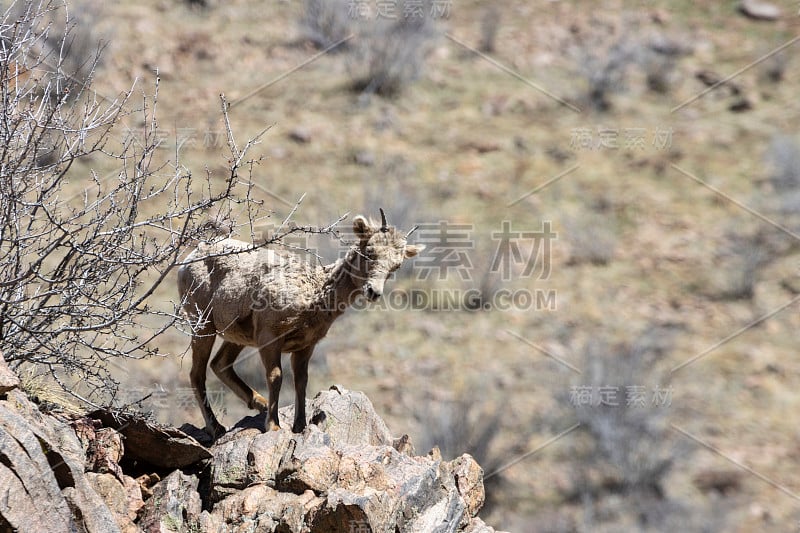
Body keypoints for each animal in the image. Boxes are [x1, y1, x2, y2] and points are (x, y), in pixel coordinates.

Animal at [177, 210, 424, 438]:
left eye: (396, 266)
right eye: (369, 252)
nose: (374, 292)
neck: (314, 294)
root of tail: (188, 261)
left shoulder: (305, 347)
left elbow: (301, 381)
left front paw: (300, 426)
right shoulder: (269, 339)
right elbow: (276, 377)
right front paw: (274, 426)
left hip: (237, 337)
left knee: (220, 364)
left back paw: (259, 403)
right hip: (203, 326)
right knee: (197, 373)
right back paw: (216, 427)